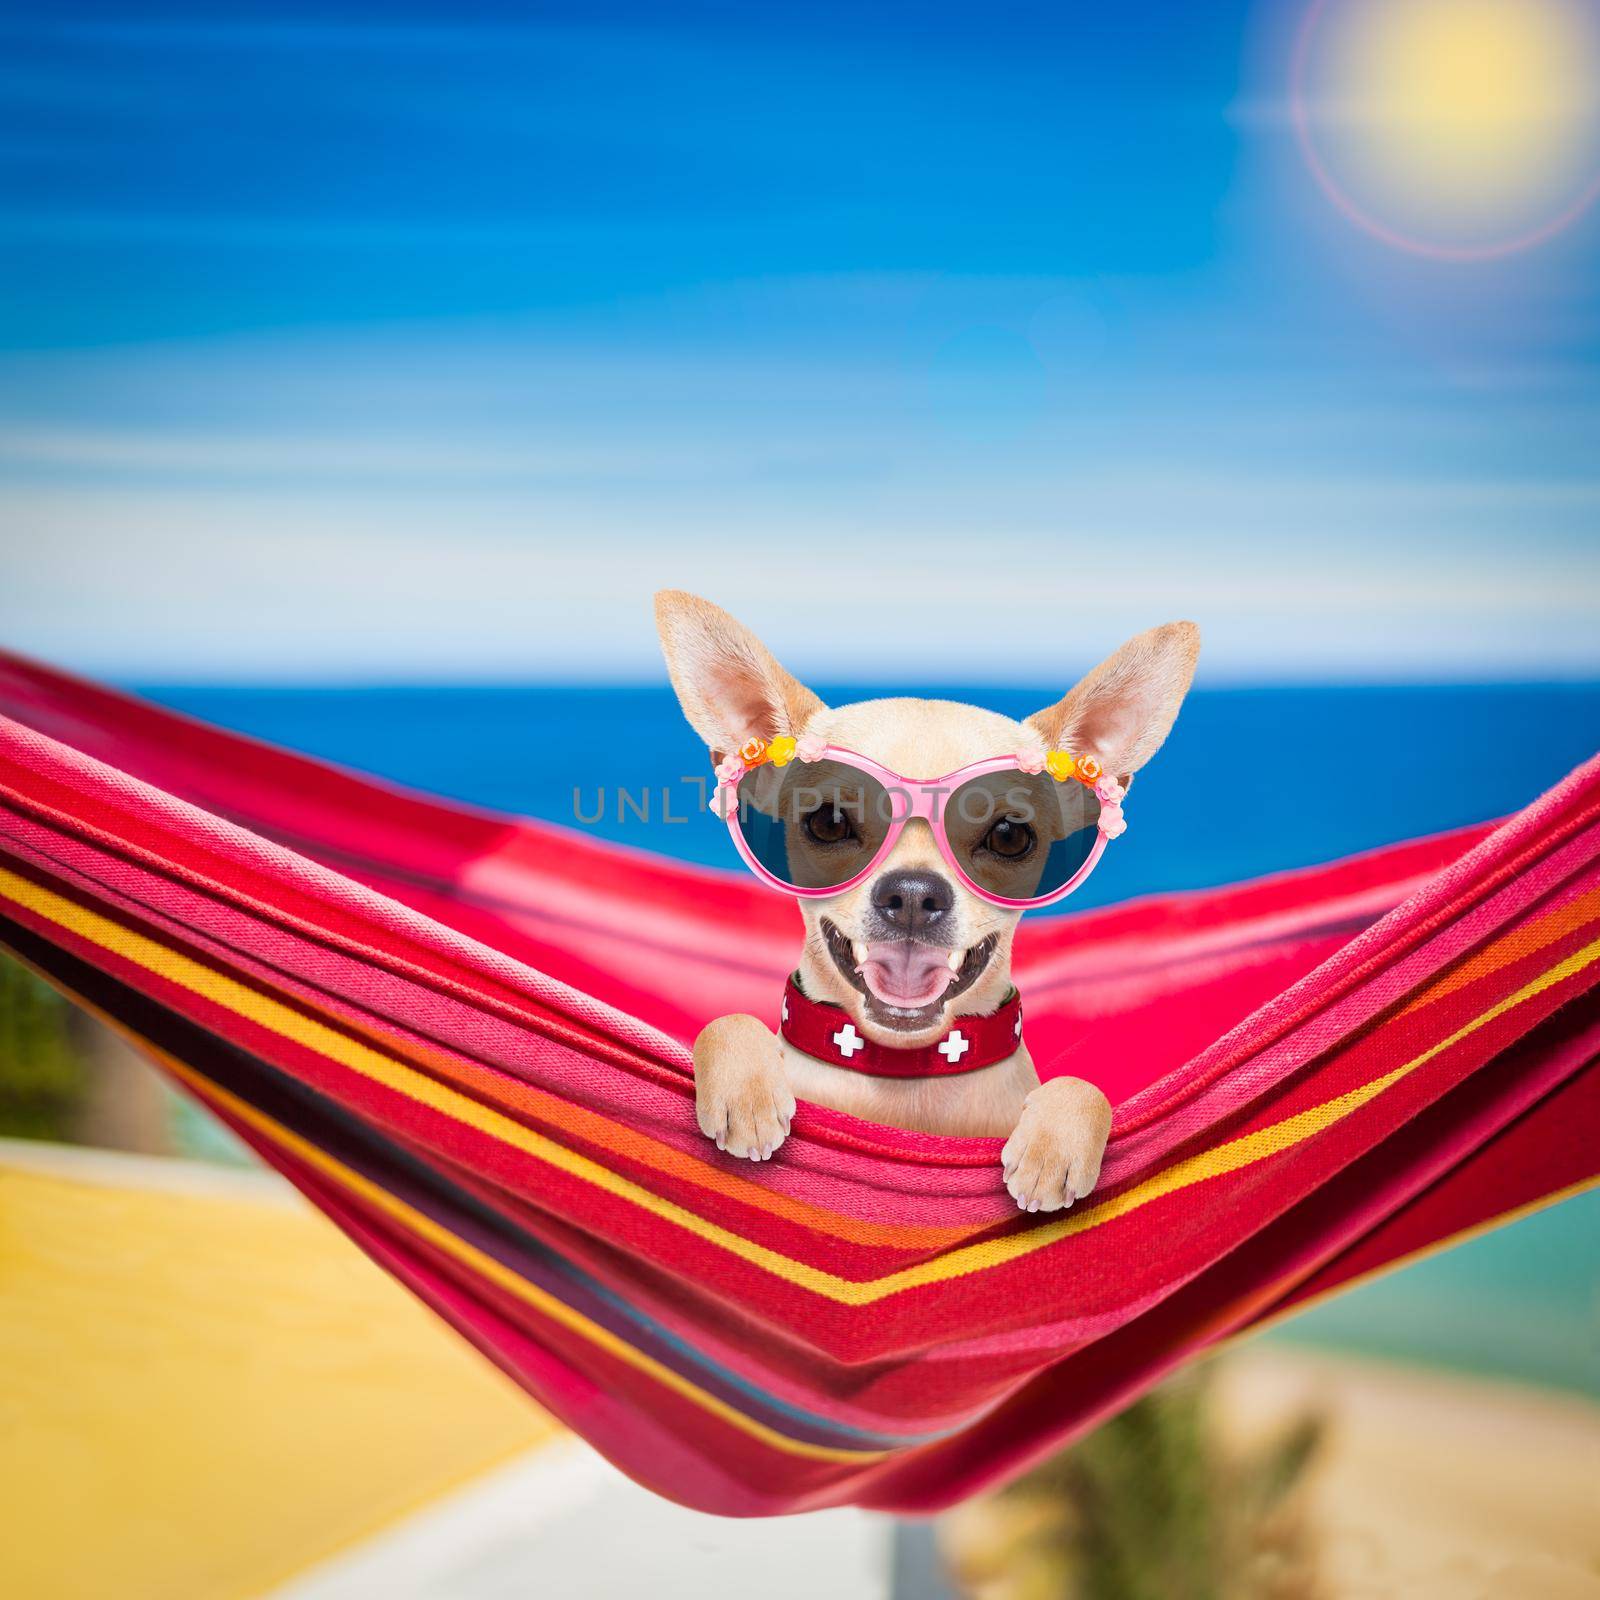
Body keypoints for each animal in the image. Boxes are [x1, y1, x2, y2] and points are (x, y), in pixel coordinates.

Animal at [652, 592, 1203, 1209]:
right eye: (829, 822)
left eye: (1009, 835)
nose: (914, 894)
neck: (905, 1072)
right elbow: (724, 1022)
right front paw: (745, 1091)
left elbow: (1085, 1086)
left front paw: (1053, 1144)